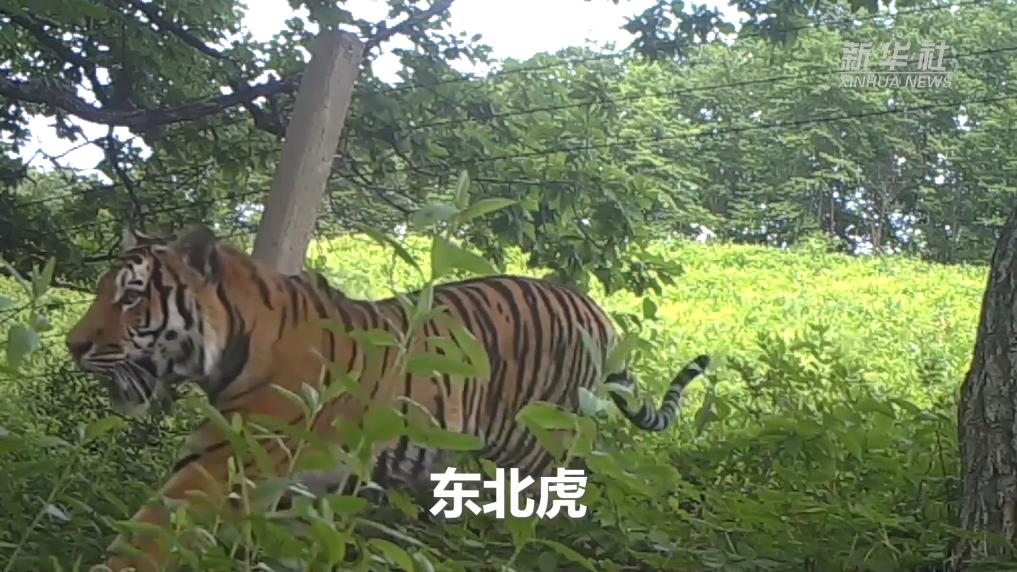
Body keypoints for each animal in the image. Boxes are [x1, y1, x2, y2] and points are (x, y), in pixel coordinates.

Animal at [64, 224, 711, 572]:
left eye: (131, 297)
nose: (73, 345)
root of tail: (597, 311)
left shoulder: (228, 460)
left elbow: (150, 531)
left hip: (532, 455)